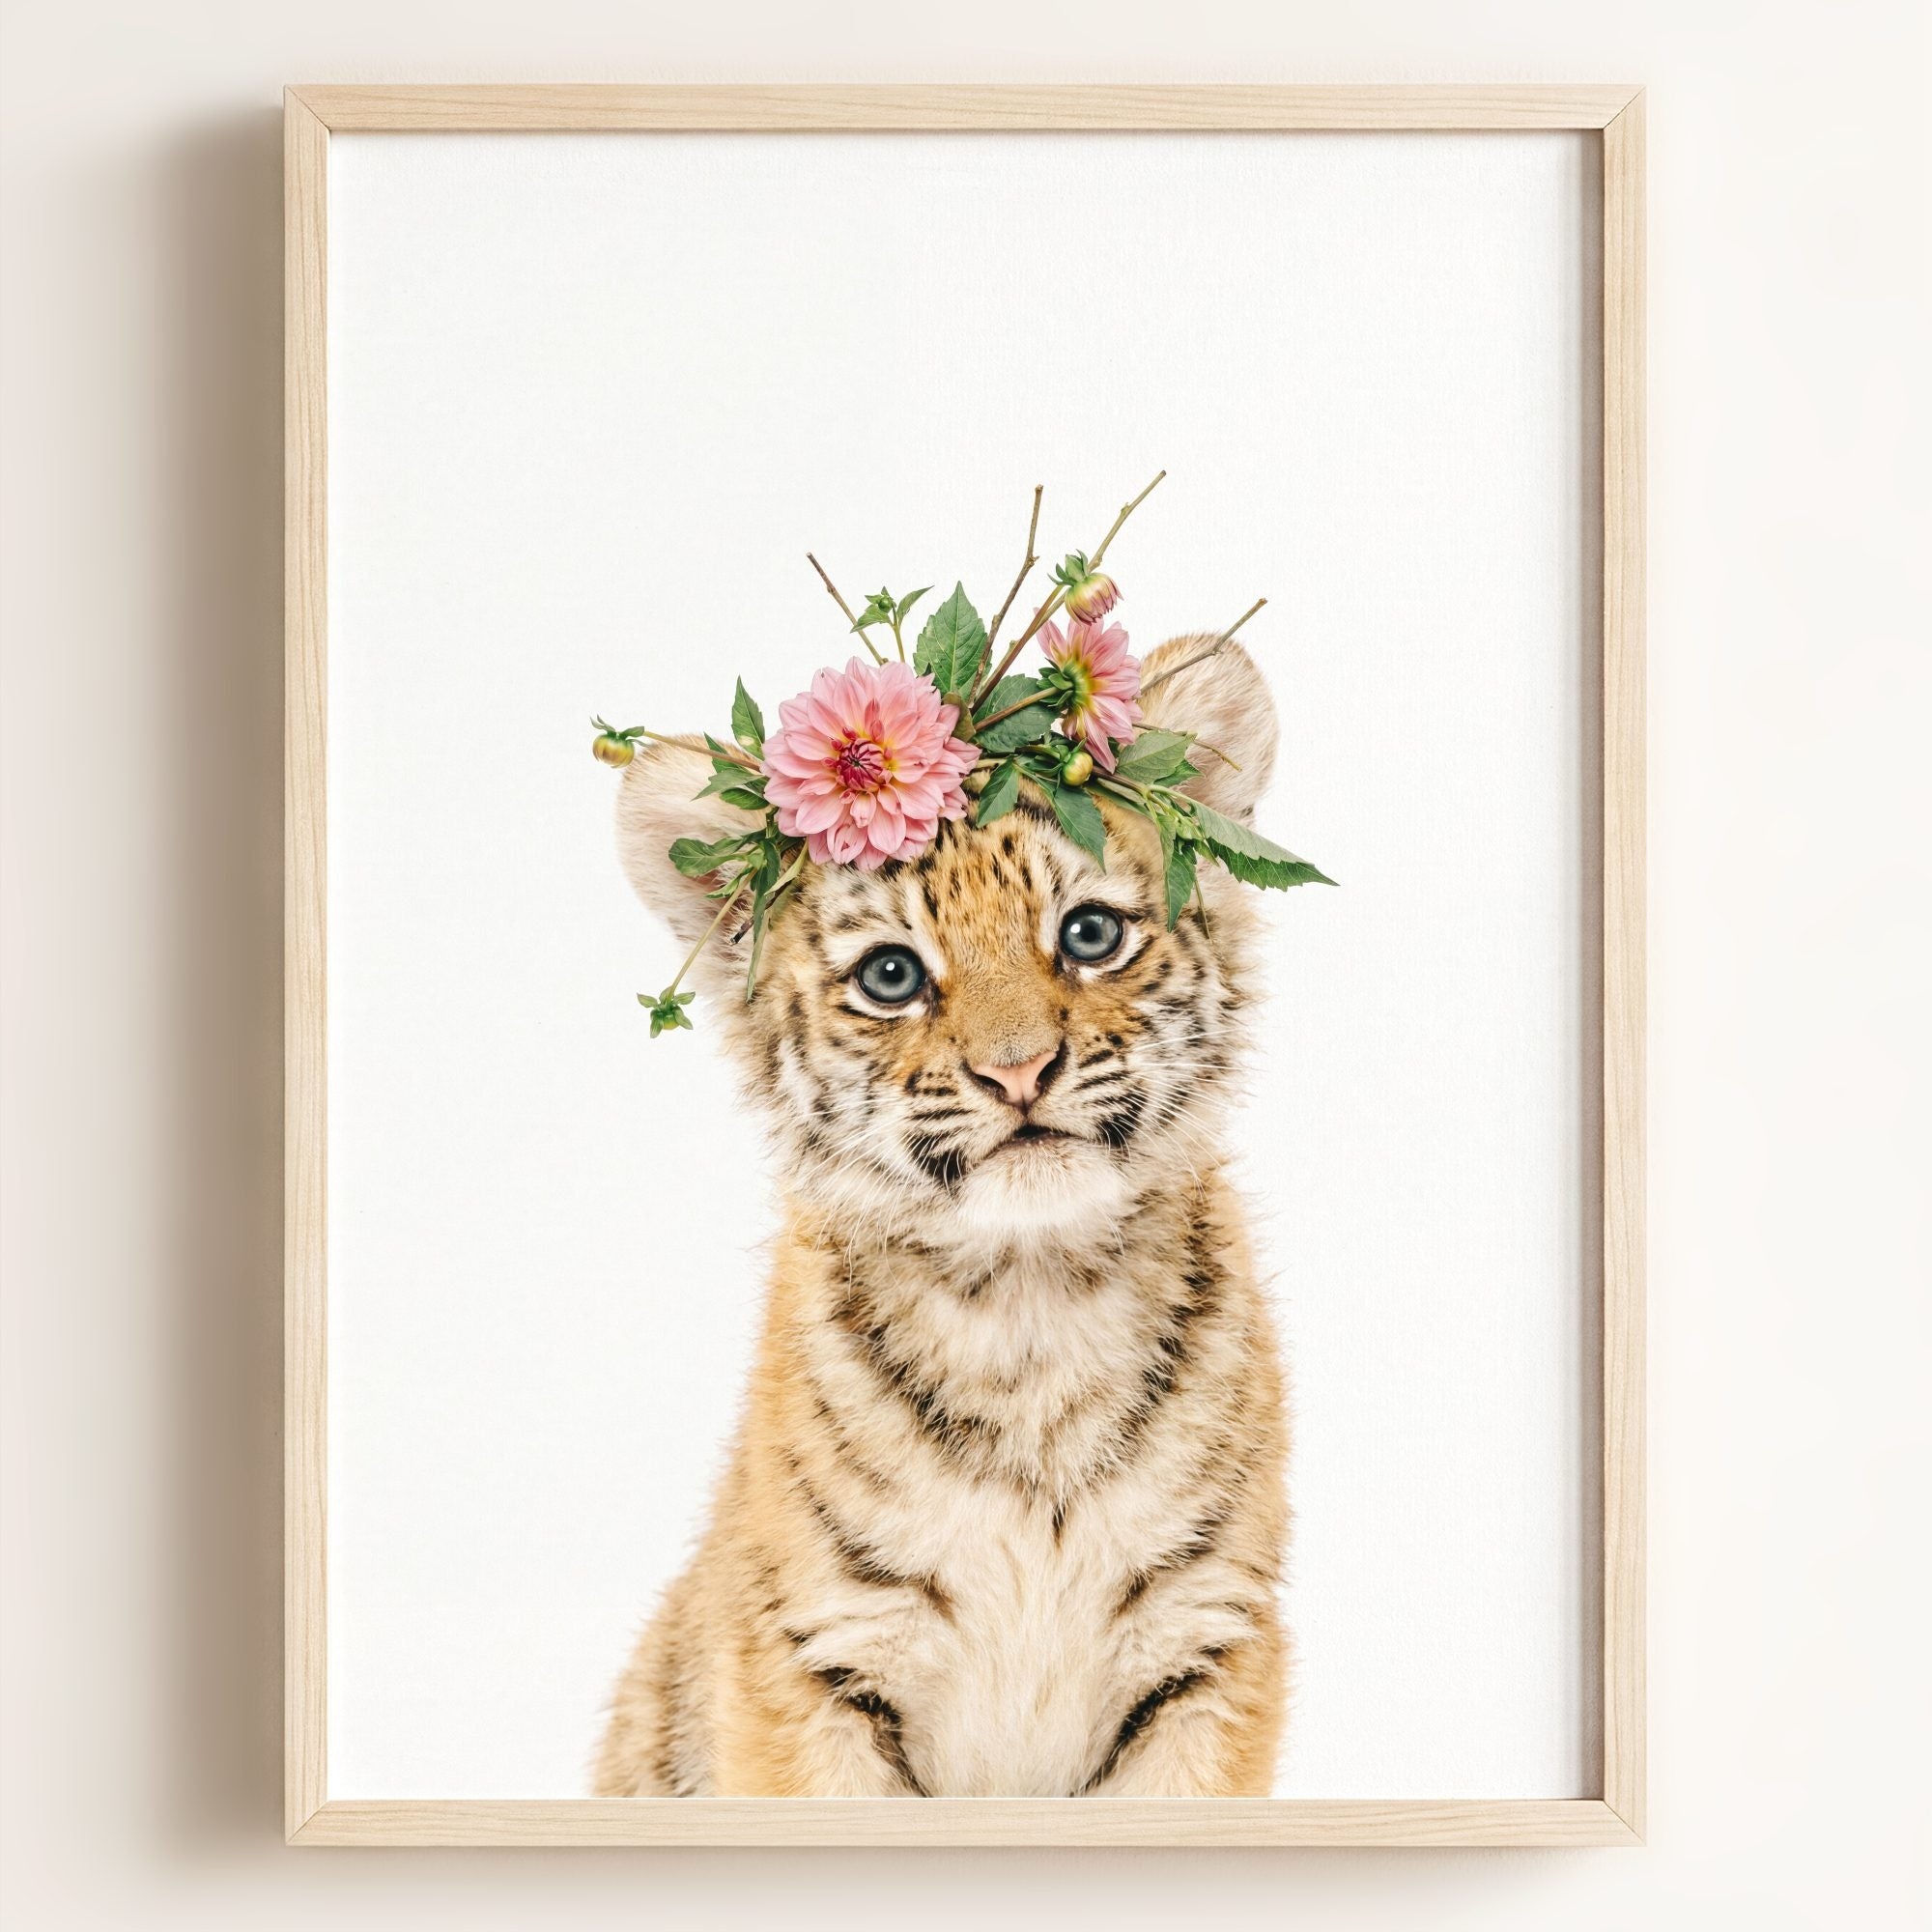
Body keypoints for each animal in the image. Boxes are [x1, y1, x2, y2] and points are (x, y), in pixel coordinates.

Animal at [592, 634, 1291, 1799]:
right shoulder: (814, 1657)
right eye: (891, 975)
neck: (1030, 1304)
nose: (1018, 1071)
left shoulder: (1205, 1645)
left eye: (1089, 932)